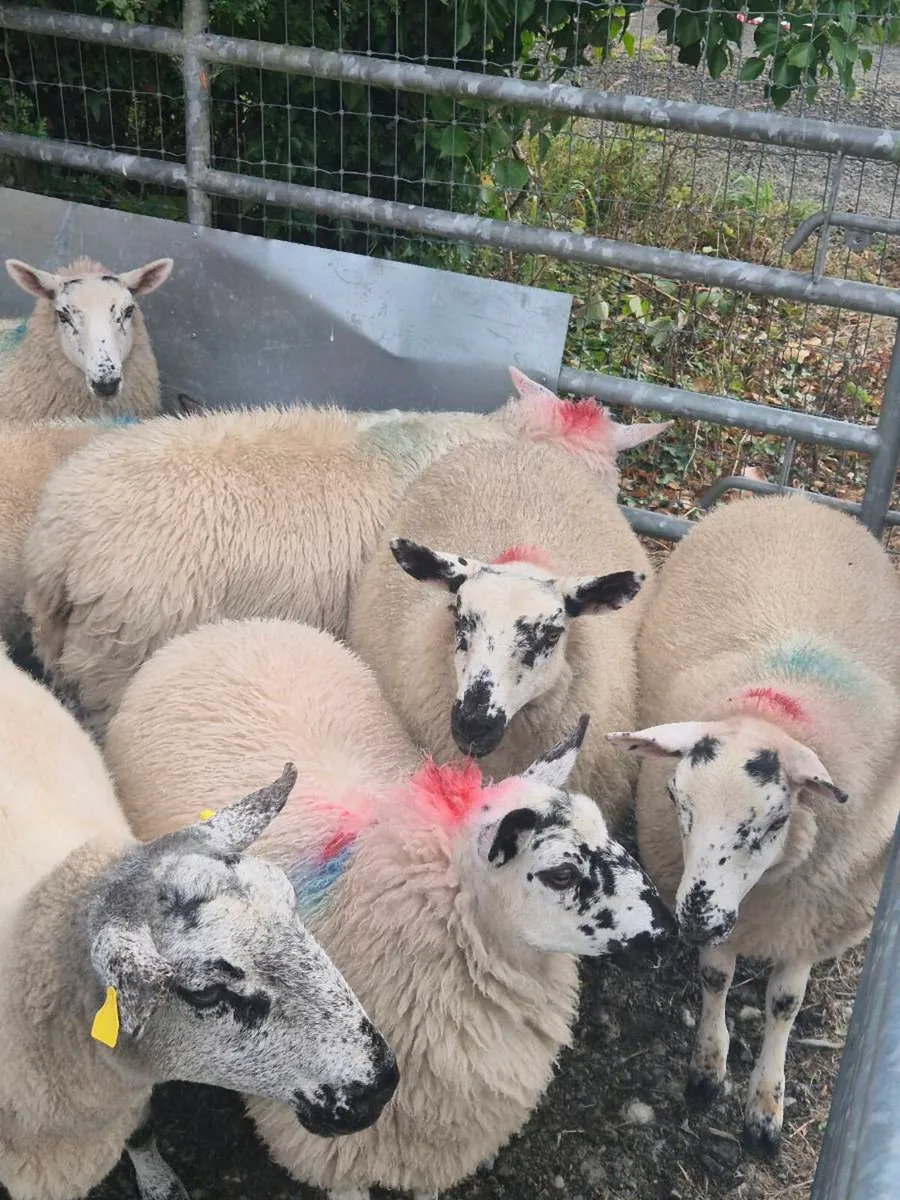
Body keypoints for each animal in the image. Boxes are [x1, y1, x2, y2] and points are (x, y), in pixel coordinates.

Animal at [606, 494, 900, 1158]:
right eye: (676, 799)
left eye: (773, 821)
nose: (694, 917)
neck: (772, 713)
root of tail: (792, 499)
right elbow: (716, 976)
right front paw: (707, 1072)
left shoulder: (809, 918)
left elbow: (785, 1004)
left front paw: (766, 1107)